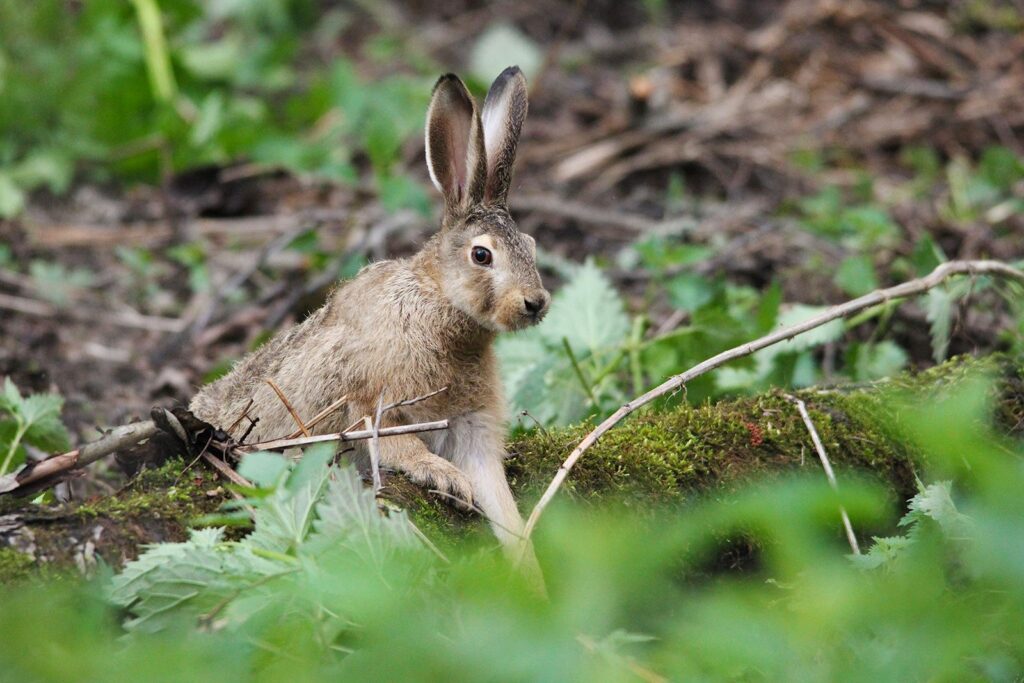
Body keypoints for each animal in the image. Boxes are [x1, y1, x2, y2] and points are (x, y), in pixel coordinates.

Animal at [190, 66, 549, 574]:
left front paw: (529, 571)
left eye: (532, 246)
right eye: (482, 255)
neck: (438, 303)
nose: (536, 303)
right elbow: (400, 447)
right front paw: (447, 479)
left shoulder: (473, 428)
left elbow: (499, 499)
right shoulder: (371, 405)